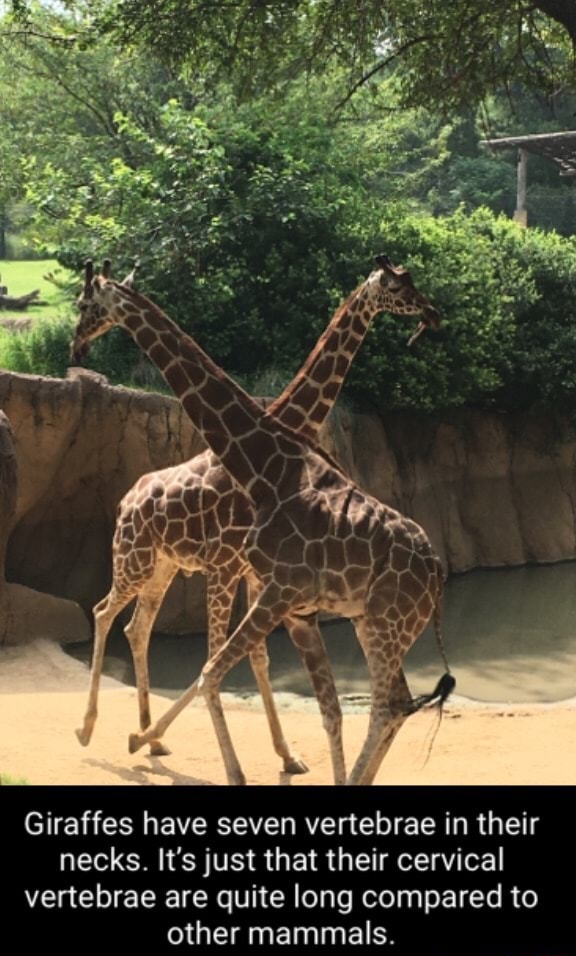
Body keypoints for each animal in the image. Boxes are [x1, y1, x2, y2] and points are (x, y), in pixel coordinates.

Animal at [71, 261, 453, 786]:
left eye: (85, 303)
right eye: (399, 285)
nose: (76, 345)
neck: (268, 460)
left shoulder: (260, 583)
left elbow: (230, 666)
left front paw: (277, 758)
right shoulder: (246, 577)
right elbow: (237, 669)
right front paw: (276, 757)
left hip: (368, 621)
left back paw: (135, 734)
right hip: (143, 561)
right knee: (111, 615)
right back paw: (103, 731)